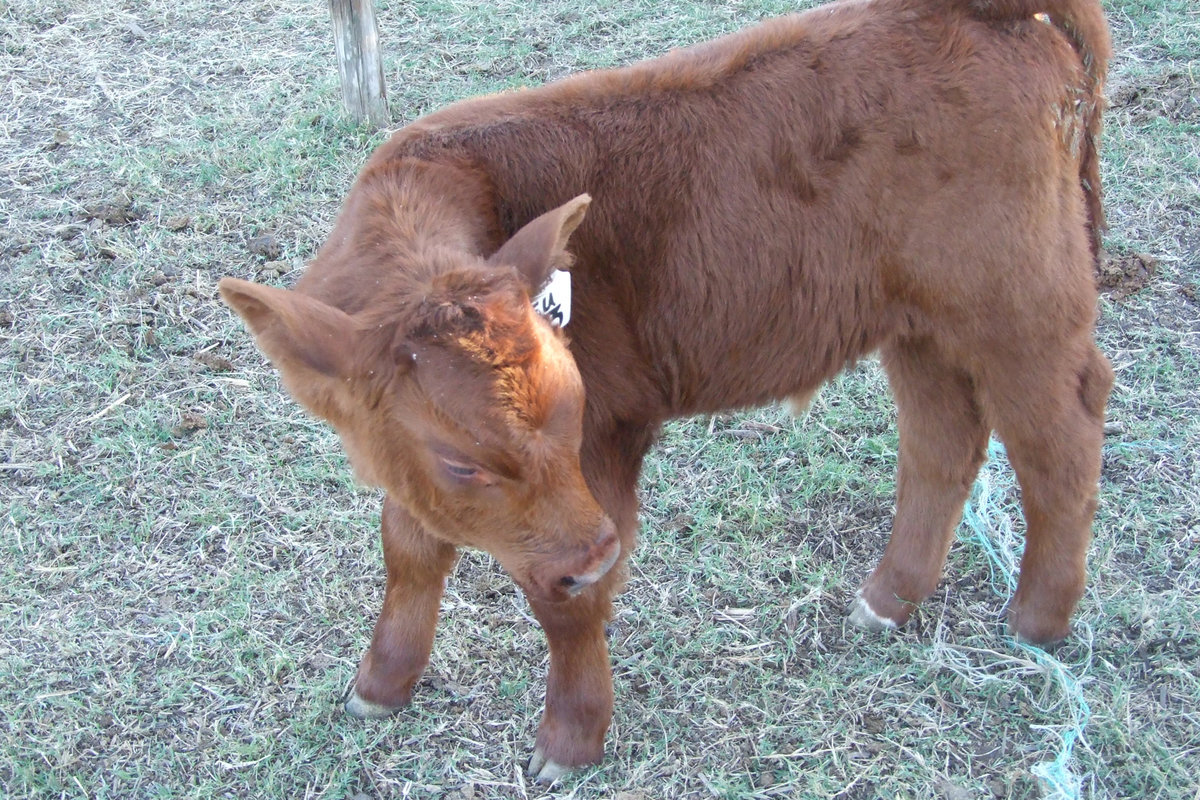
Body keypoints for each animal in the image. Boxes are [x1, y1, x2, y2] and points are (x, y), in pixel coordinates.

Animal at [220, 0, 1112, 780]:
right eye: (460, 461)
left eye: (575, 409)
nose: (596, 556)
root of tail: (982, 17)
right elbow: (408, 549)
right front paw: (381, 683)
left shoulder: (606, 449)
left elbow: (564, 607)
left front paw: (571, 738)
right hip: (919, 325)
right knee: (943, 441)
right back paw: (889, 600)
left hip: (1020, 309)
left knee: (1060, 440)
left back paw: (1039, 617)